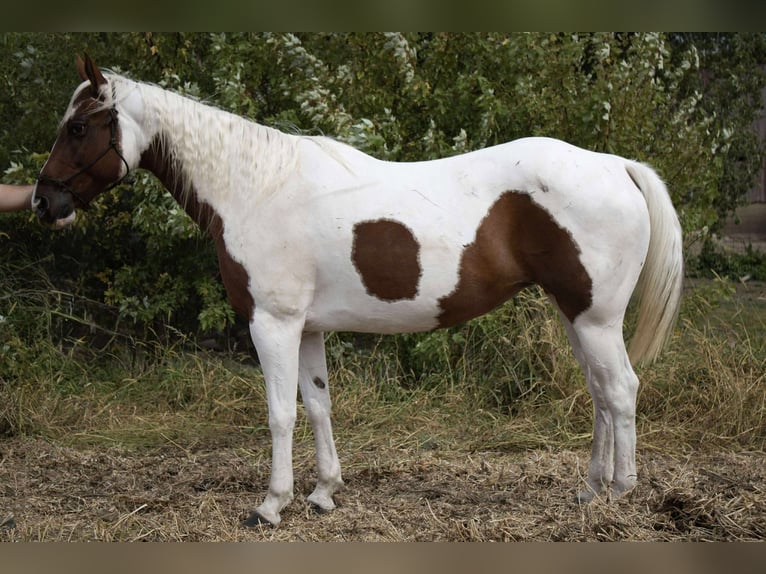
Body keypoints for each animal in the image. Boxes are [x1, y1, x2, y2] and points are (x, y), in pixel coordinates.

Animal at [33, 54, 683, 527]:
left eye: (80, 127)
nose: (44, 202)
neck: (255, 189)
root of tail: (615, 164)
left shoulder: (272, 324)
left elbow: (279, 414)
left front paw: (271, 505)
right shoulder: (306, 328)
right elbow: (317, 404)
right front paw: (324, 493)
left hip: (595, 319)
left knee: (620, 390)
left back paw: (620, 493)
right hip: (575, 315)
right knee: (600, 394)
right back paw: (590, 489)